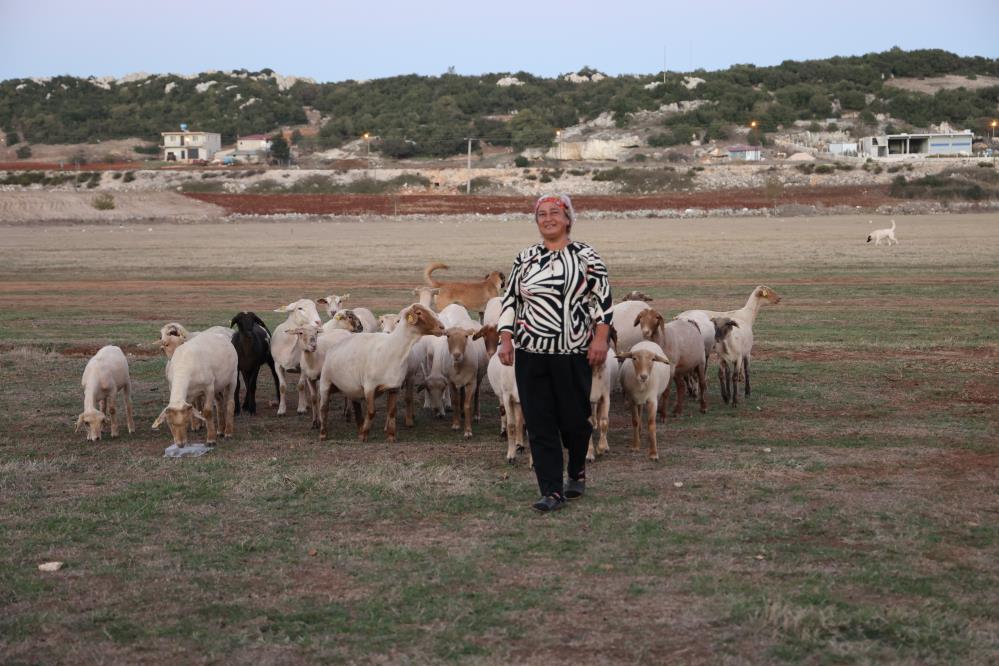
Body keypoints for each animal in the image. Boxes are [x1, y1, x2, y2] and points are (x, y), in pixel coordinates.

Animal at [318, 302, 448, 440]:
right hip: (325, 382)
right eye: (419, 313)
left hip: (352, 387)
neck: (391, 349)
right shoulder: (369, 387)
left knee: (356, 407)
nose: (442, 327)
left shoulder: (393, 387)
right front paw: (364, 436)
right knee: (324, 408)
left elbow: (392, 411)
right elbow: (371, 412)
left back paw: (359, 429)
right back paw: (323, 433)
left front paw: (390, 436)